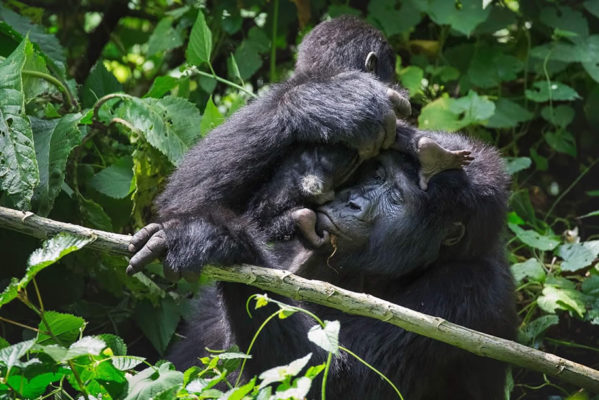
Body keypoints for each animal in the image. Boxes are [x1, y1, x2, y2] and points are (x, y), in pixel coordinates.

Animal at [171, 123, 516, 398]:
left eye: (396, 198)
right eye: (377, 174)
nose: (352, 202)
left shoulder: (465, 288)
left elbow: (330, 381)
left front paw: (226, 242)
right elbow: (184, 198)